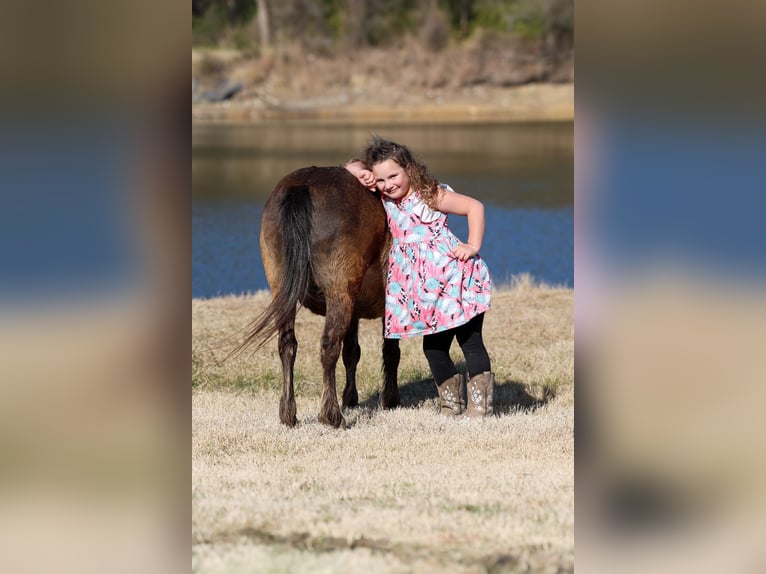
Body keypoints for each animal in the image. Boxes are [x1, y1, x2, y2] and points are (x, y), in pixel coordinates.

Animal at [236, 166, 400, 428]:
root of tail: (302, 186)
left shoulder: (354, 309)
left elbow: (352, 352)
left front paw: (351, 398)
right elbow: (390, 350)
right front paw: (390, 399)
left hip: (286, 292)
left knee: (287, 345)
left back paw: (288, 413)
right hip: (338, 295)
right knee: (329, 346)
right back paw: (332, 415)